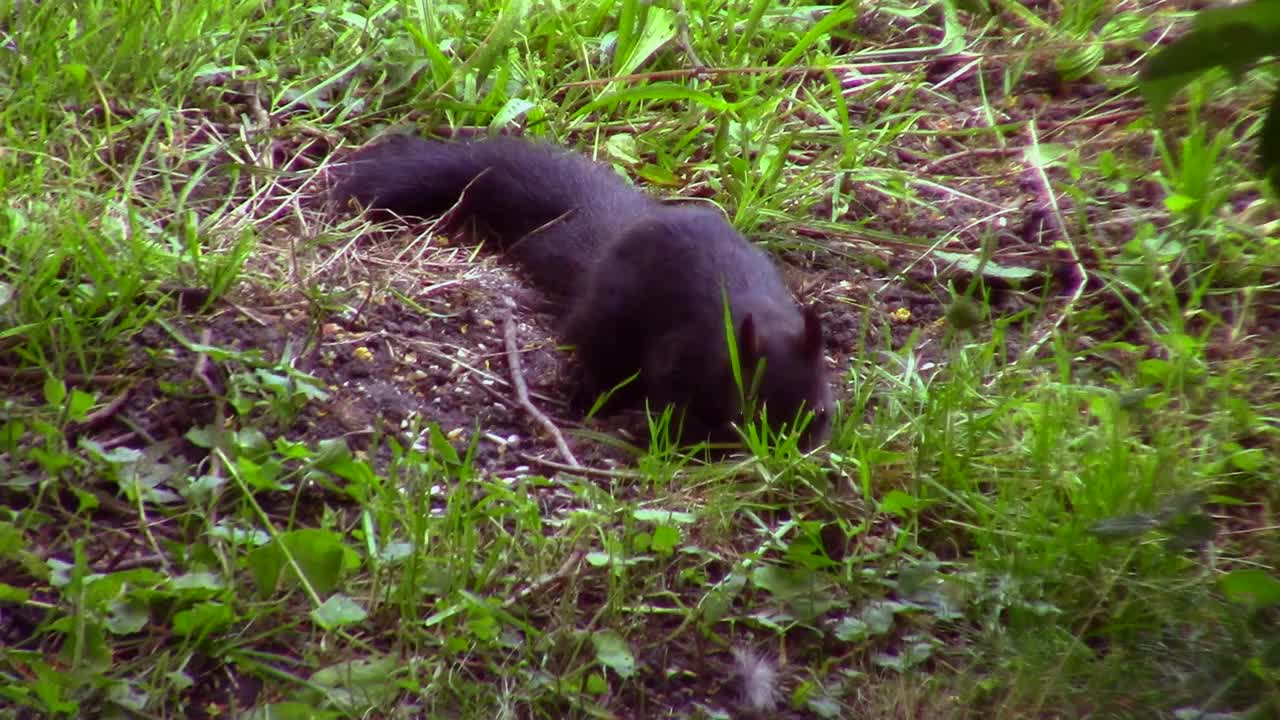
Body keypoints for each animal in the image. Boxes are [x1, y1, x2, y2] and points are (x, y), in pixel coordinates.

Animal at [330, 133, 834, 445]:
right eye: (750, 410)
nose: (783, 452)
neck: (758, 320)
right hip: (608, 322)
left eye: (823, 414)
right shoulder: (680, 355)